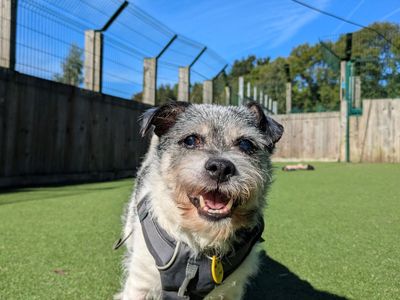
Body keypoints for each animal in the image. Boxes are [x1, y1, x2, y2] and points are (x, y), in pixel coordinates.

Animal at [115, 101, 284, 300]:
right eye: (190, 140)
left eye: (245, 143)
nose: (221, 168)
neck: (204, 237)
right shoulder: (141, 283)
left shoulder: (231, 292)